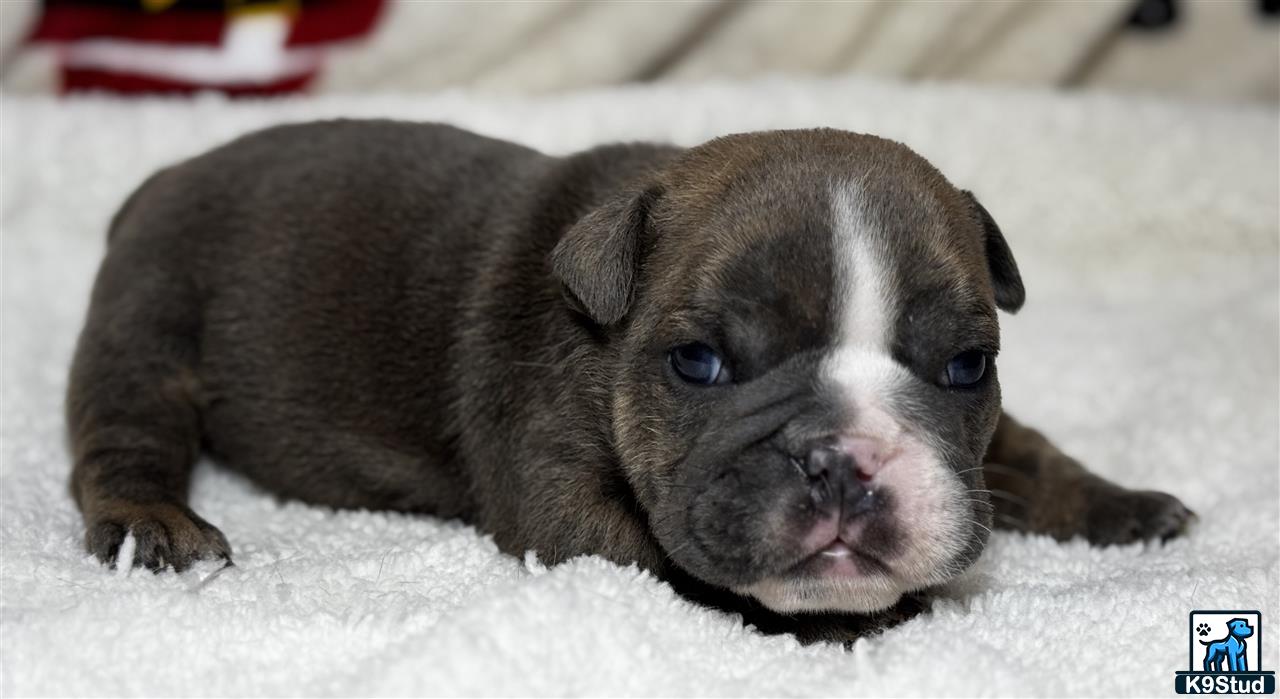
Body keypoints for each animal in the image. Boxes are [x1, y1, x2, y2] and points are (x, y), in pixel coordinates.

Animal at [67, 120, 1187, 642]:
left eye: (965, 366)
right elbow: (674, 566)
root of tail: (156, 181)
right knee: (119, 437)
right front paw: (858, 617)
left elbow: (1026, 452)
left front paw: (1120, 505)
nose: (841, 462)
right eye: (699, 363)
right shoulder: (562, 500)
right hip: (147, 329)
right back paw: (151, 522)